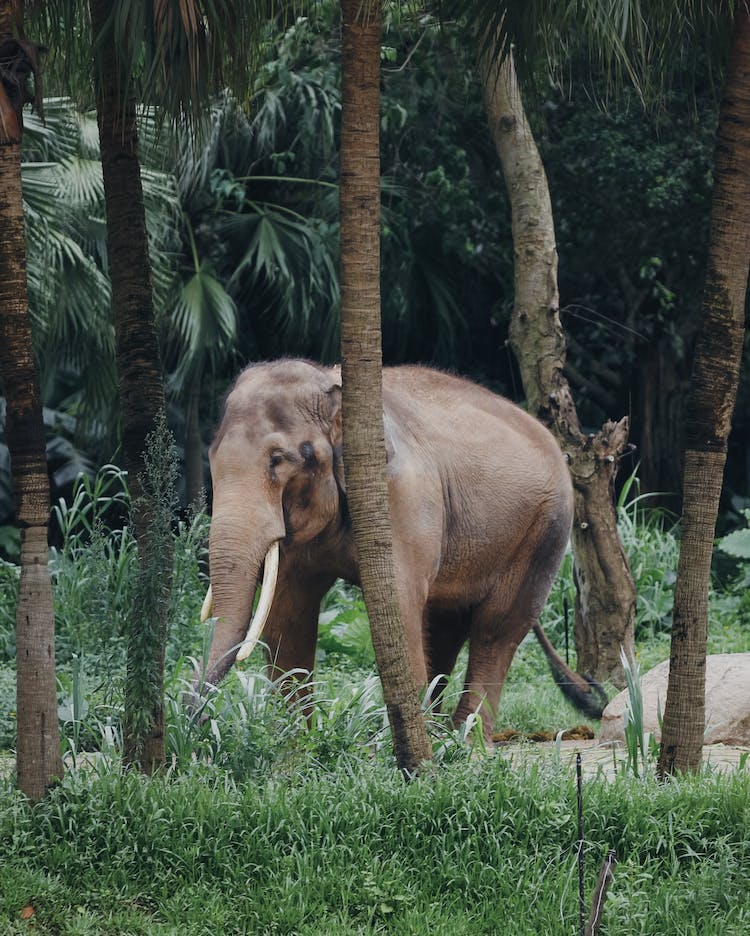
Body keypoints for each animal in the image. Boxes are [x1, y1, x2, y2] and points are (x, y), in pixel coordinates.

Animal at [197, 358, 608, 740]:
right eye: (211, 457)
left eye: (278, 460)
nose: (194, 717)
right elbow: (288, 611)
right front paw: (298, 744)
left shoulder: (402, 495)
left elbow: (400, 601)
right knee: (446, 627)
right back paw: (442, 735)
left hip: (546, 529)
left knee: (497, 628)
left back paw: (465, 744)